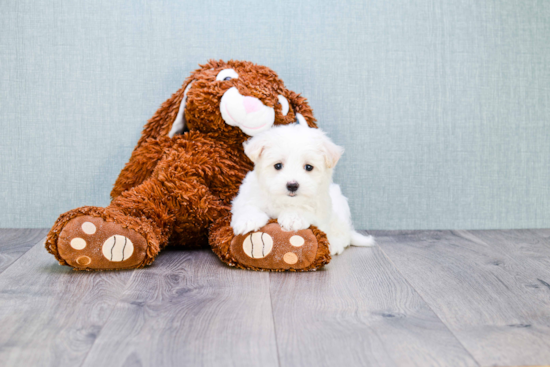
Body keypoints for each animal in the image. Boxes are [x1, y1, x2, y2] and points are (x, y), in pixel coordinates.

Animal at [233, 123, 376, 256]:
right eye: (278, 165)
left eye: (308, 167)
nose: (292, 185)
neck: (284, 201)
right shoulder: (248, 194)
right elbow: (248, 205)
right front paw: (248, 220)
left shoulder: (320, 207)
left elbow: (305, 208)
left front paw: (293, 217)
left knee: (341, 235)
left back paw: (334, 244)